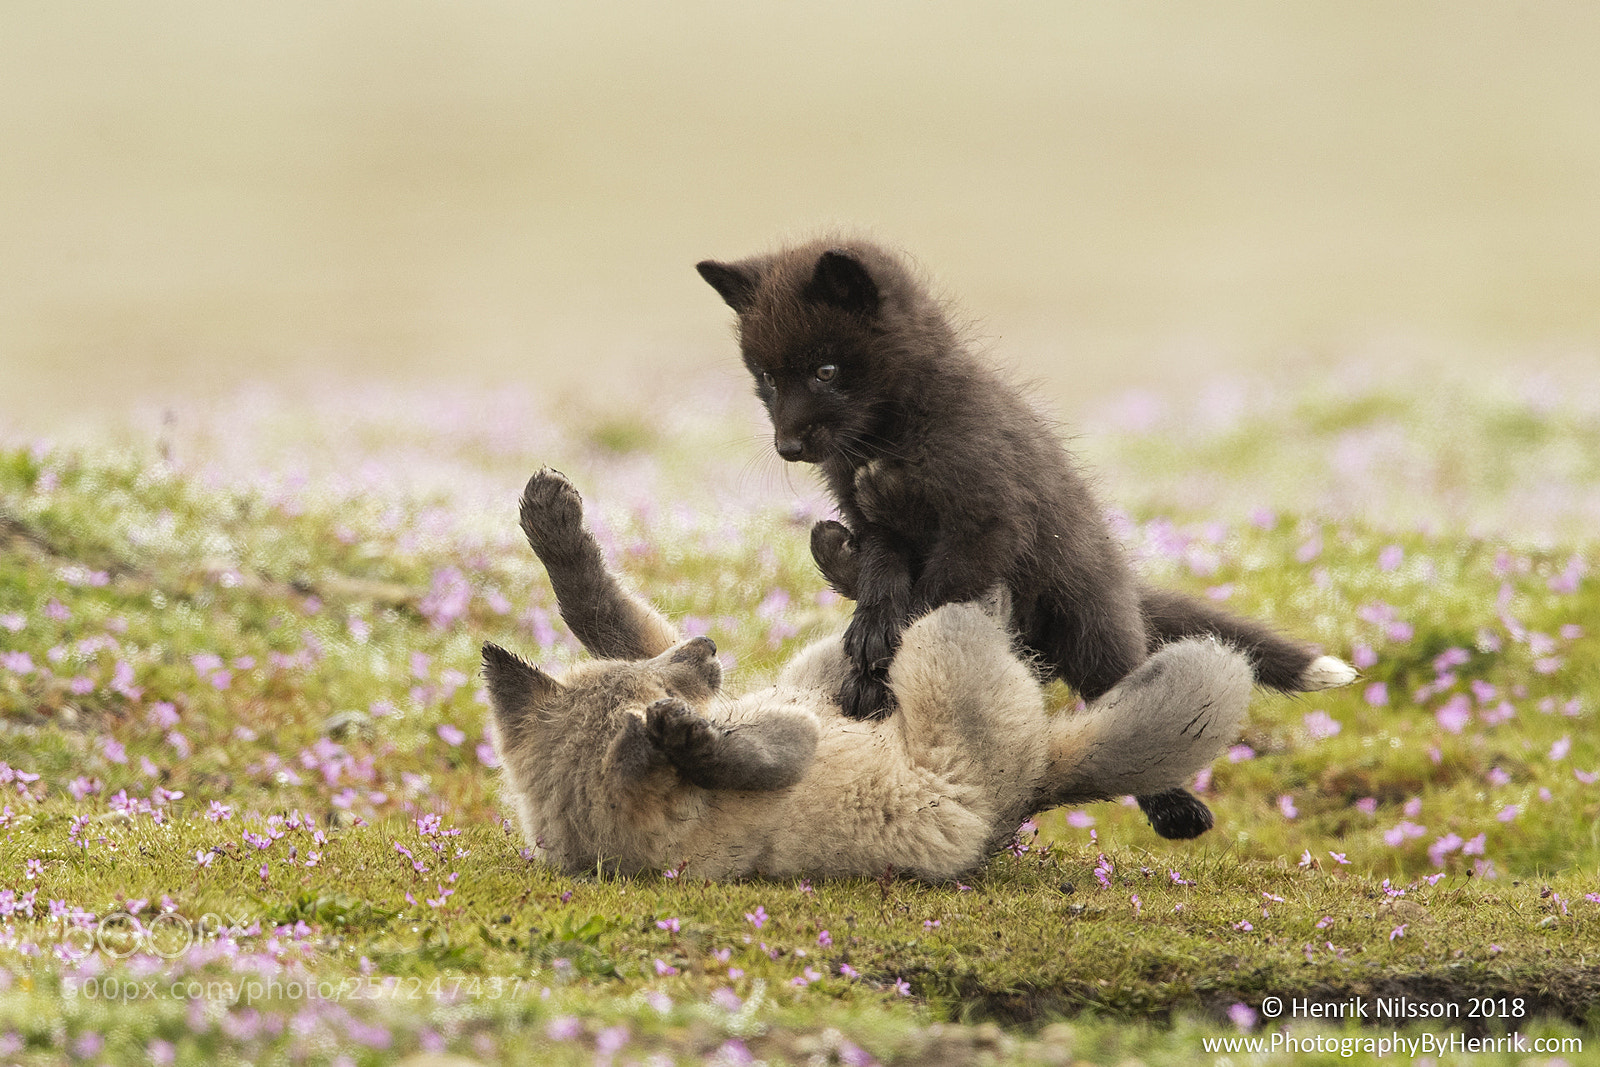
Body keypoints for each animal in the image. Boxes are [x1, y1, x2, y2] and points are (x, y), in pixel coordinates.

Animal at [481, 468, 1253, 880]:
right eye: (667, 691)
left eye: (656, 675)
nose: (707, 647)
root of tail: (1035, 785)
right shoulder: (776, 732)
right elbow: (766, 744)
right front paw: (695, 744)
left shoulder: (720, 681)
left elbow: (601, 608)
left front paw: (555, 527)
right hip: (940, 654)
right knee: (964, 613)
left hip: (829, 669)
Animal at [696, 238, 1356, 840]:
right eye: (766, 377)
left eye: (826, 370)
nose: (787, 447)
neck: (893, 436)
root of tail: (1122, 583)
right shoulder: (876, 521)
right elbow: (887, 582)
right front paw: (869, 643)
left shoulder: (985, 521)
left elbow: (926, 604)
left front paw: (880, 674)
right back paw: (839, 563)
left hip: (1091, 629)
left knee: (1125, 695)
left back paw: (1175, 809)